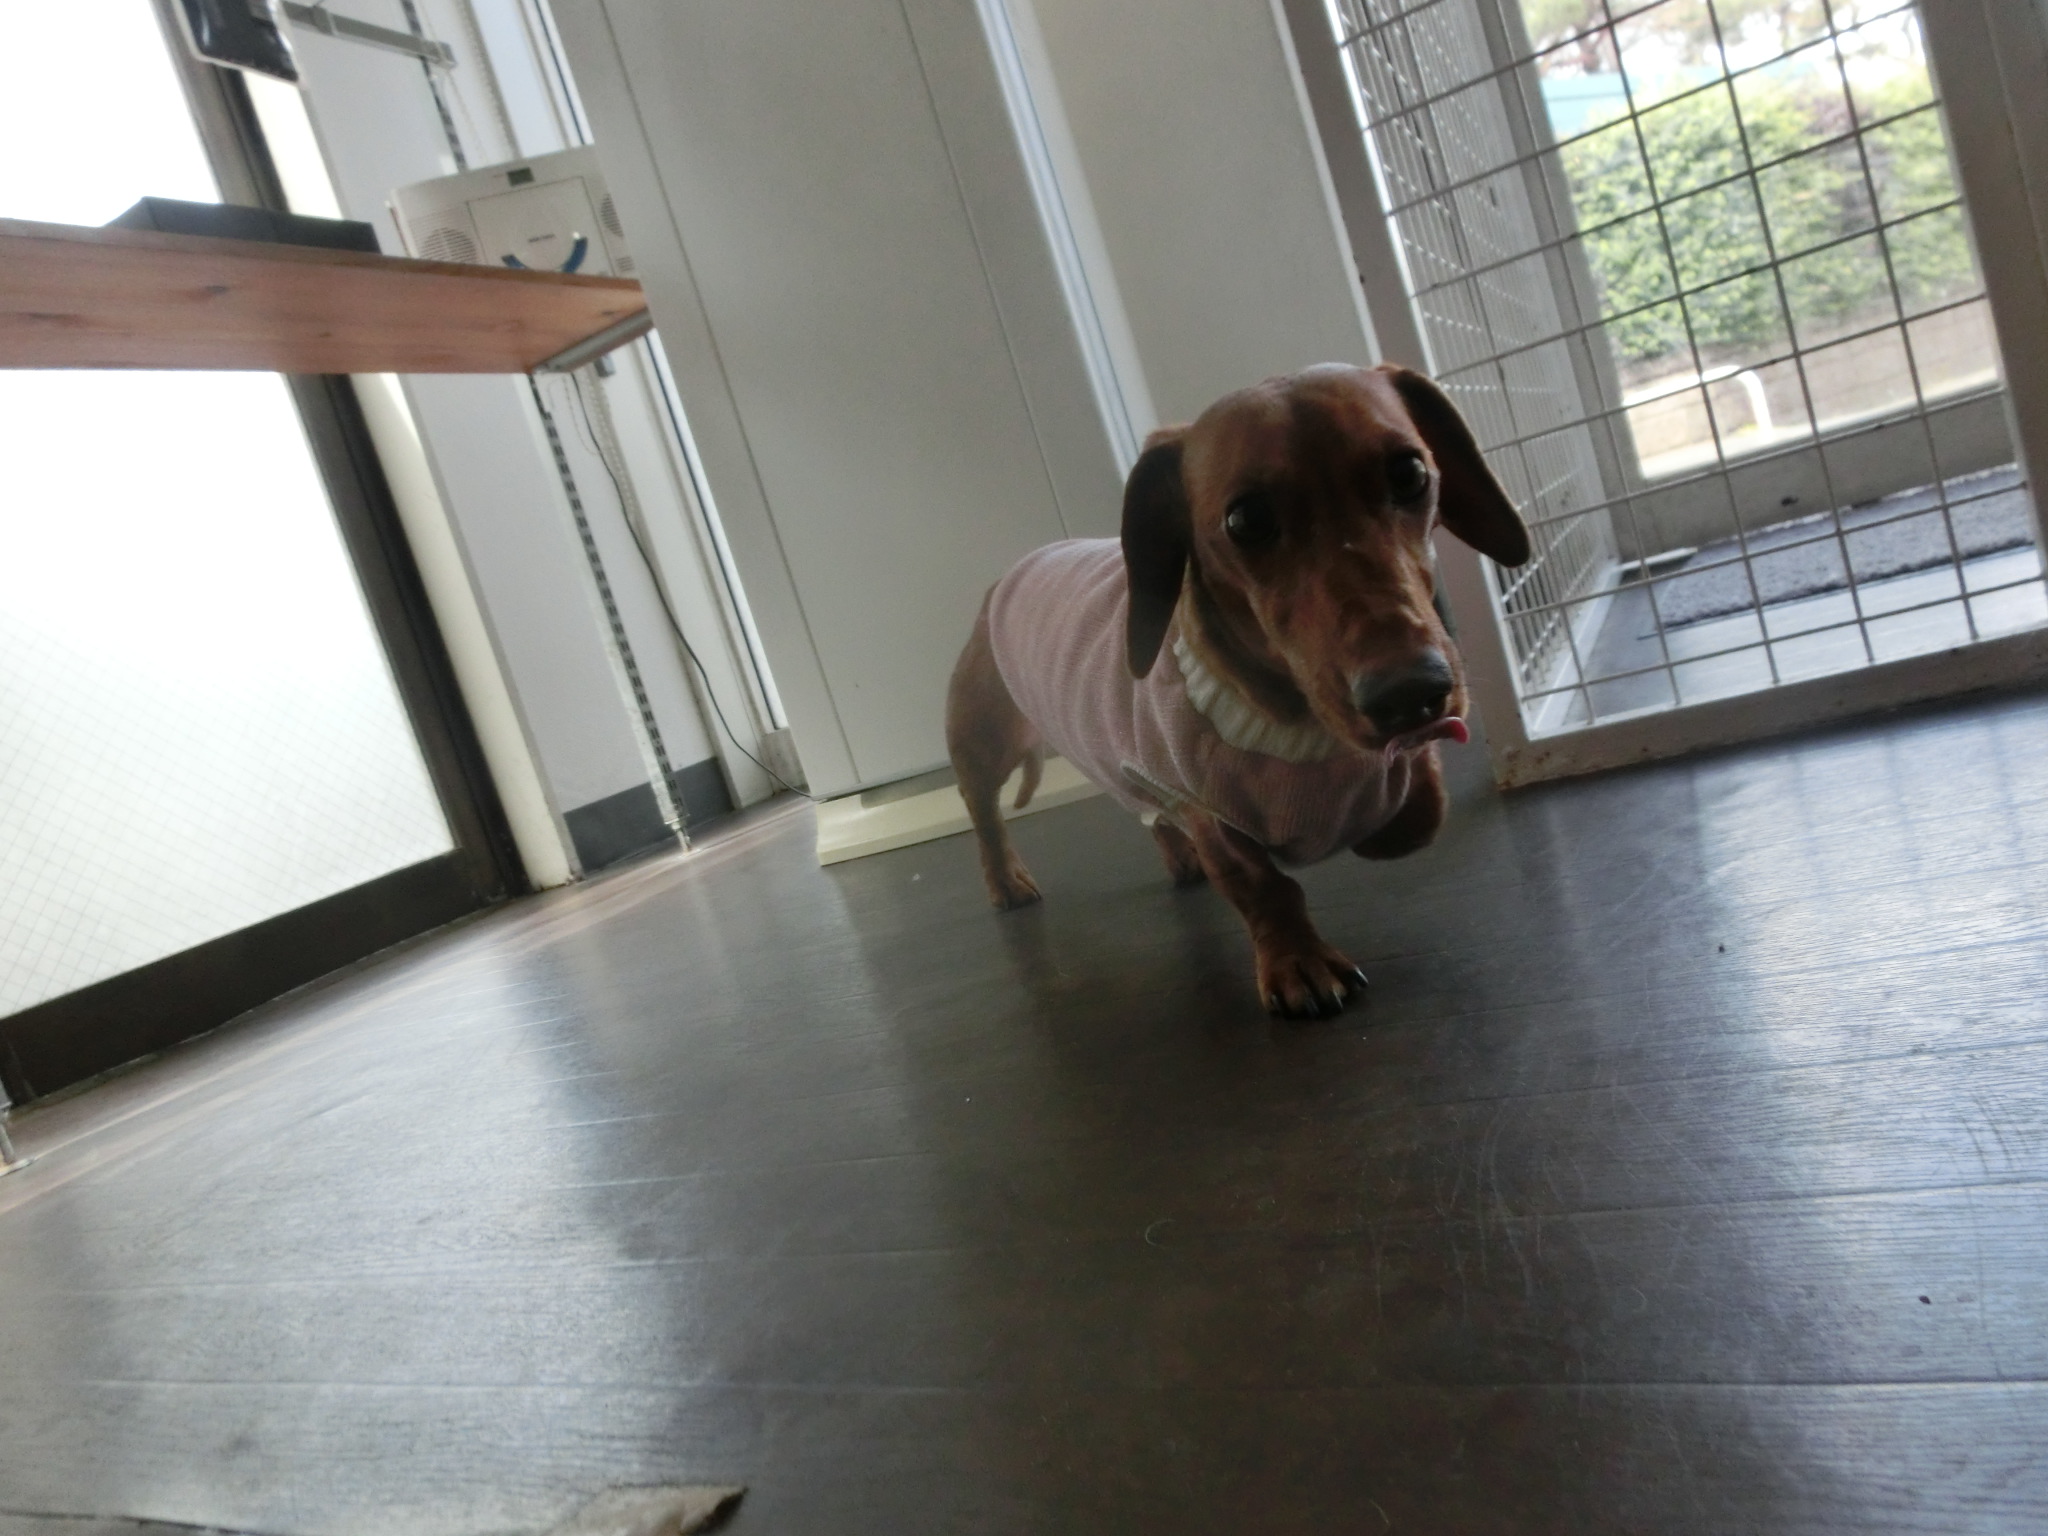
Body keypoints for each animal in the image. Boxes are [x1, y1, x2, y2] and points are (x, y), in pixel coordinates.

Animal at [945, 362, 1530, 1018]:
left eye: (1410, 474)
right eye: (1246, 519)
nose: (1411, 693)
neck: (1298, 725)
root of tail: (1014, 569)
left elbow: (1421, 807)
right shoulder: (1207, 809)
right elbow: (1265, 886)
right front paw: (1298, 962)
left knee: (1142, 808)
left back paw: (1178, 857)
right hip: (985, 741)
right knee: (984, 811)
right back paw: (1006, 879)